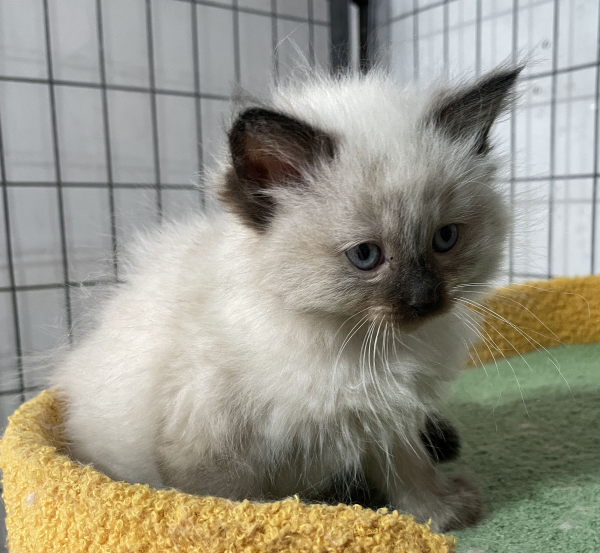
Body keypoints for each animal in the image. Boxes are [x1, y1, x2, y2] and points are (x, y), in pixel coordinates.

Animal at [52, 63, 520, 532]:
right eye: (365, 256)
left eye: (445, 238)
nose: (425, 300)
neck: (356, 346)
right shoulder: (210, 443)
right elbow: (224, 504)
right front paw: (265, 526)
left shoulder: (386, 417)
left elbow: (411, 469)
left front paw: (441, 515)